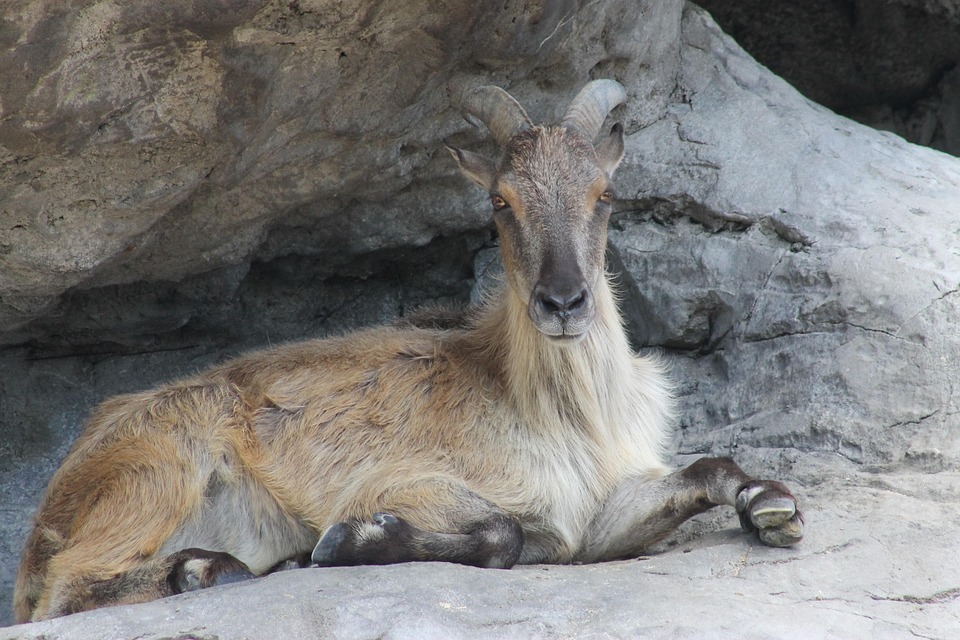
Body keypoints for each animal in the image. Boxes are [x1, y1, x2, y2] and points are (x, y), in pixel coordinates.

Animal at [14, 80, 803, 623]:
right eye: (500, 202)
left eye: (605, 194)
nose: (563, 302)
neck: (561, 410)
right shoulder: (409, 480)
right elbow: (500, 534)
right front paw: (352, 542)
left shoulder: (603, 508)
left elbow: (705, 470)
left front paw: (773, 509)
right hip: (159, 470)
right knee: (69, 588)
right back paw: (211, 570)